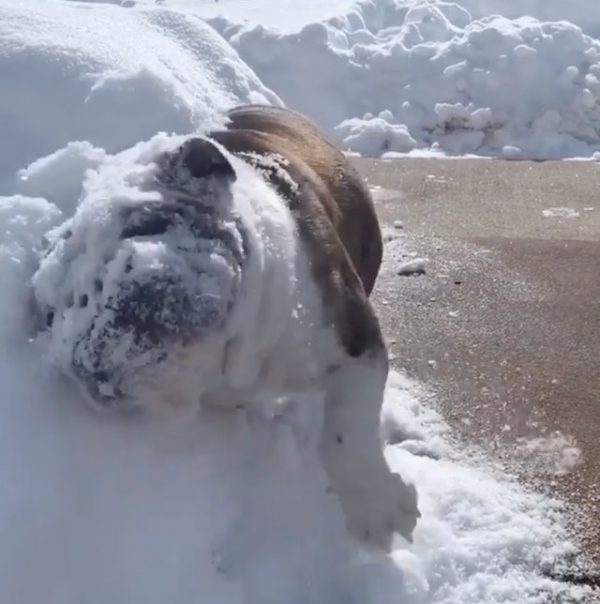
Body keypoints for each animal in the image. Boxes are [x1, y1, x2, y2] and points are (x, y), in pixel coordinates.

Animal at [31, 105, 418, 552]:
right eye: (54, 312)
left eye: (144, 224)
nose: (103, 297)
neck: (237, 352)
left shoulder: (354, 336)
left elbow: (348, 427)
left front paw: (376, 506)